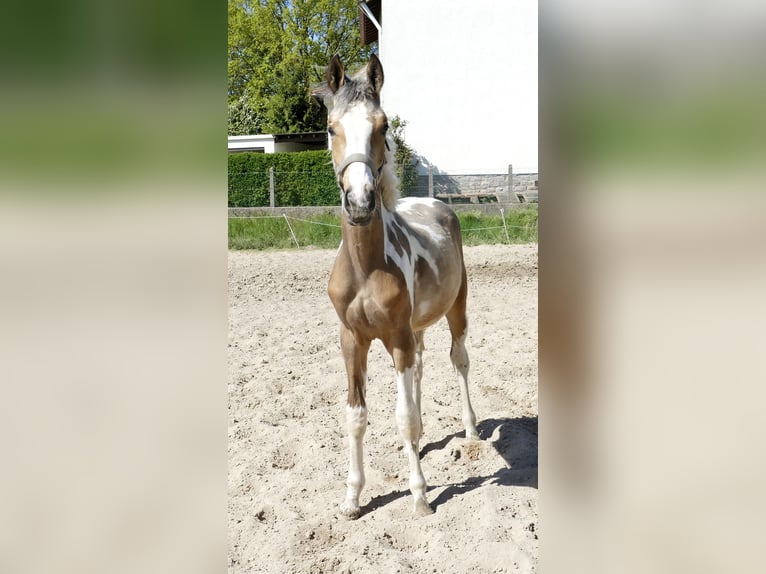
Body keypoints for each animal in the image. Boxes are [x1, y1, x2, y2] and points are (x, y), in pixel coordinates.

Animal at [318, 54, 479, 518]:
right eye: (331, 127)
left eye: (383, 124)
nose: (359, 202)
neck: (365, 268)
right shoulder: (353, 340)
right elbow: (356, 416)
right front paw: (352, 498)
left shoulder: (397, 338)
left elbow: (404, 418)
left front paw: (421, 495)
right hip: (417, 328)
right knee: (423, 368)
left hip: (455, 310)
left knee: (458, 360)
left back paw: (470, 429)